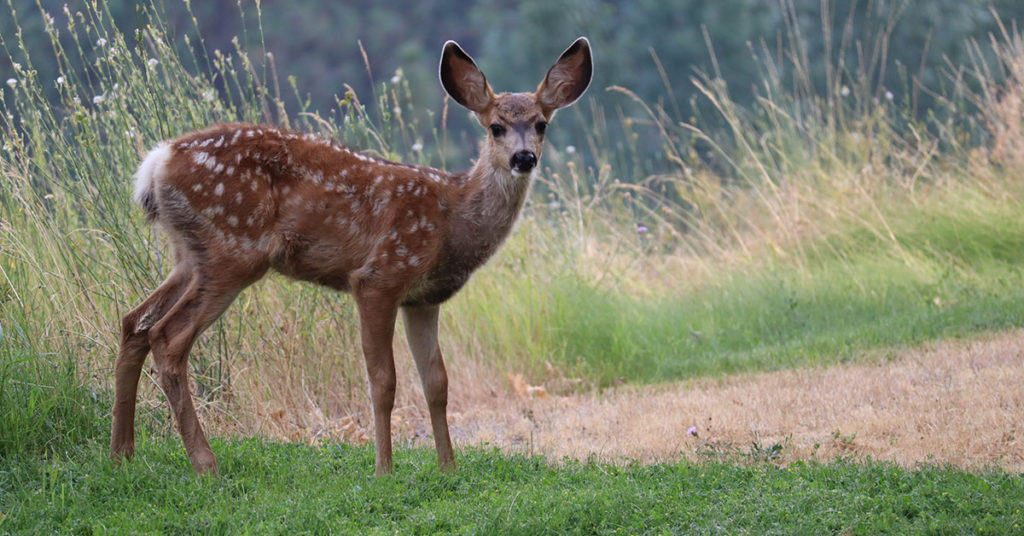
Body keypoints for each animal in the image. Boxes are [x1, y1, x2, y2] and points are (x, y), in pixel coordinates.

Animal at [110, 37, 593, 475]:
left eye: (541, 124)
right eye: (495, 126)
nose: (523, 157)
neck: (451, 218)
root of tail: (156, 163)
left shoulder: (423, 298)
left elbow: (436, 382)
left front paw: (448, 469)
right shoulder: (379, 276)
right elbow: (384, 380)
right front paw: (384, 470)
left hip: (189, 255)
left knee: (135, 322)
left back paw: (123, 453)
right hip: (234, 248)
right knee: (169, 336)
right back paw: (205, 463)